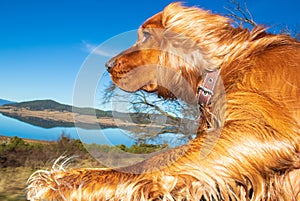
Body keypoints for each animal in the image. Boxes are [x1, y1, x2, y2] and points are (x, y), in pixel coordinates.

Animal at [27, 2, 298, 200]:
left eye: (146, 35)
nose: (108, 65)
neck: (221, 69)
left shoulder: (259, 132)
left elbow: (151, 165)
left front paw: (56, 183)